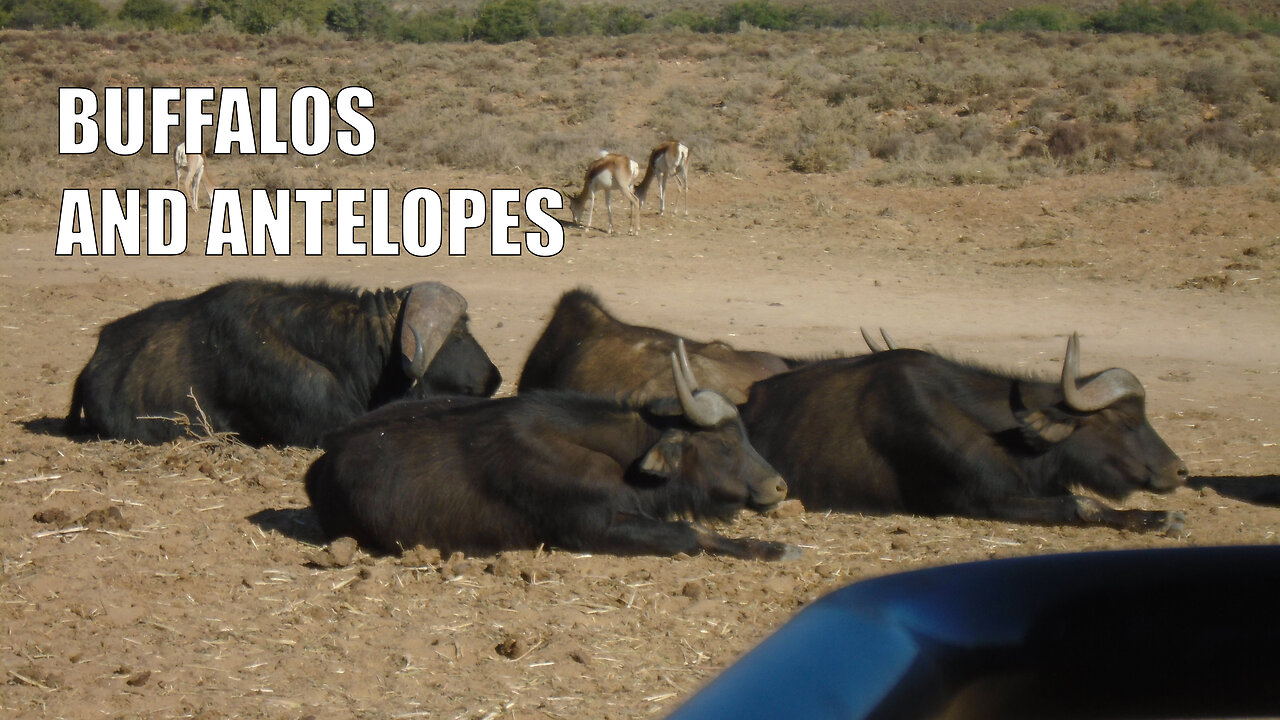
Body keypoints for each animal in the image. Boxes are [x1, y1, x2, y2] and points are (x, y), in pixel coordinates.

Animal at [304, 338, 793, 558]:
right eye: (724, 442)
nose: (779, 487)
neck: (620, 459)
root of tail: (326, 460)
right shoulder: (594, 528)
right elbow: (689, 534)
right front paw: (776, 548)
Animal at [742, 333, 1187, 530]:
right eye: (1124, 422)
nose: (1179, 470)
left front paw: (1157, 515)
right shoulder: (980, 500)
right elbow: (1080, 504)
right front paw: (1159, 518)